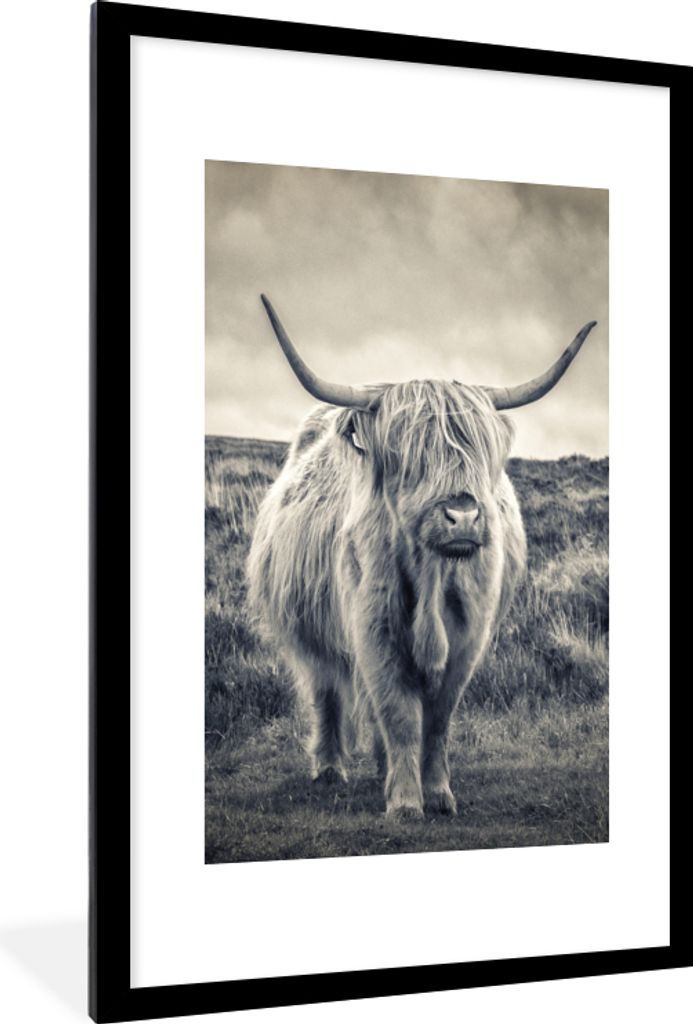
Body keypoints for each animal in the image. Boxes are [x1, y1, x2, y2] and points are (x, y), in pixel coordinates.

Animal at [247, 296, 597, 818]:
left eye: (479, 452)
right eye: (409, 456)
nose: (463, 515)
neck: (433, 576)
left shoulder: (468, 638)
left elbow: (436, 719)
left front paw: (436, 793)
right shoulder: (373, 629)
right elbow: (399, 712)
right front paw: (406, 803)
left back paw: (381, 768)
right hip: (310, 631)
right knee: (327, 690)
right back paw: (330, 768)